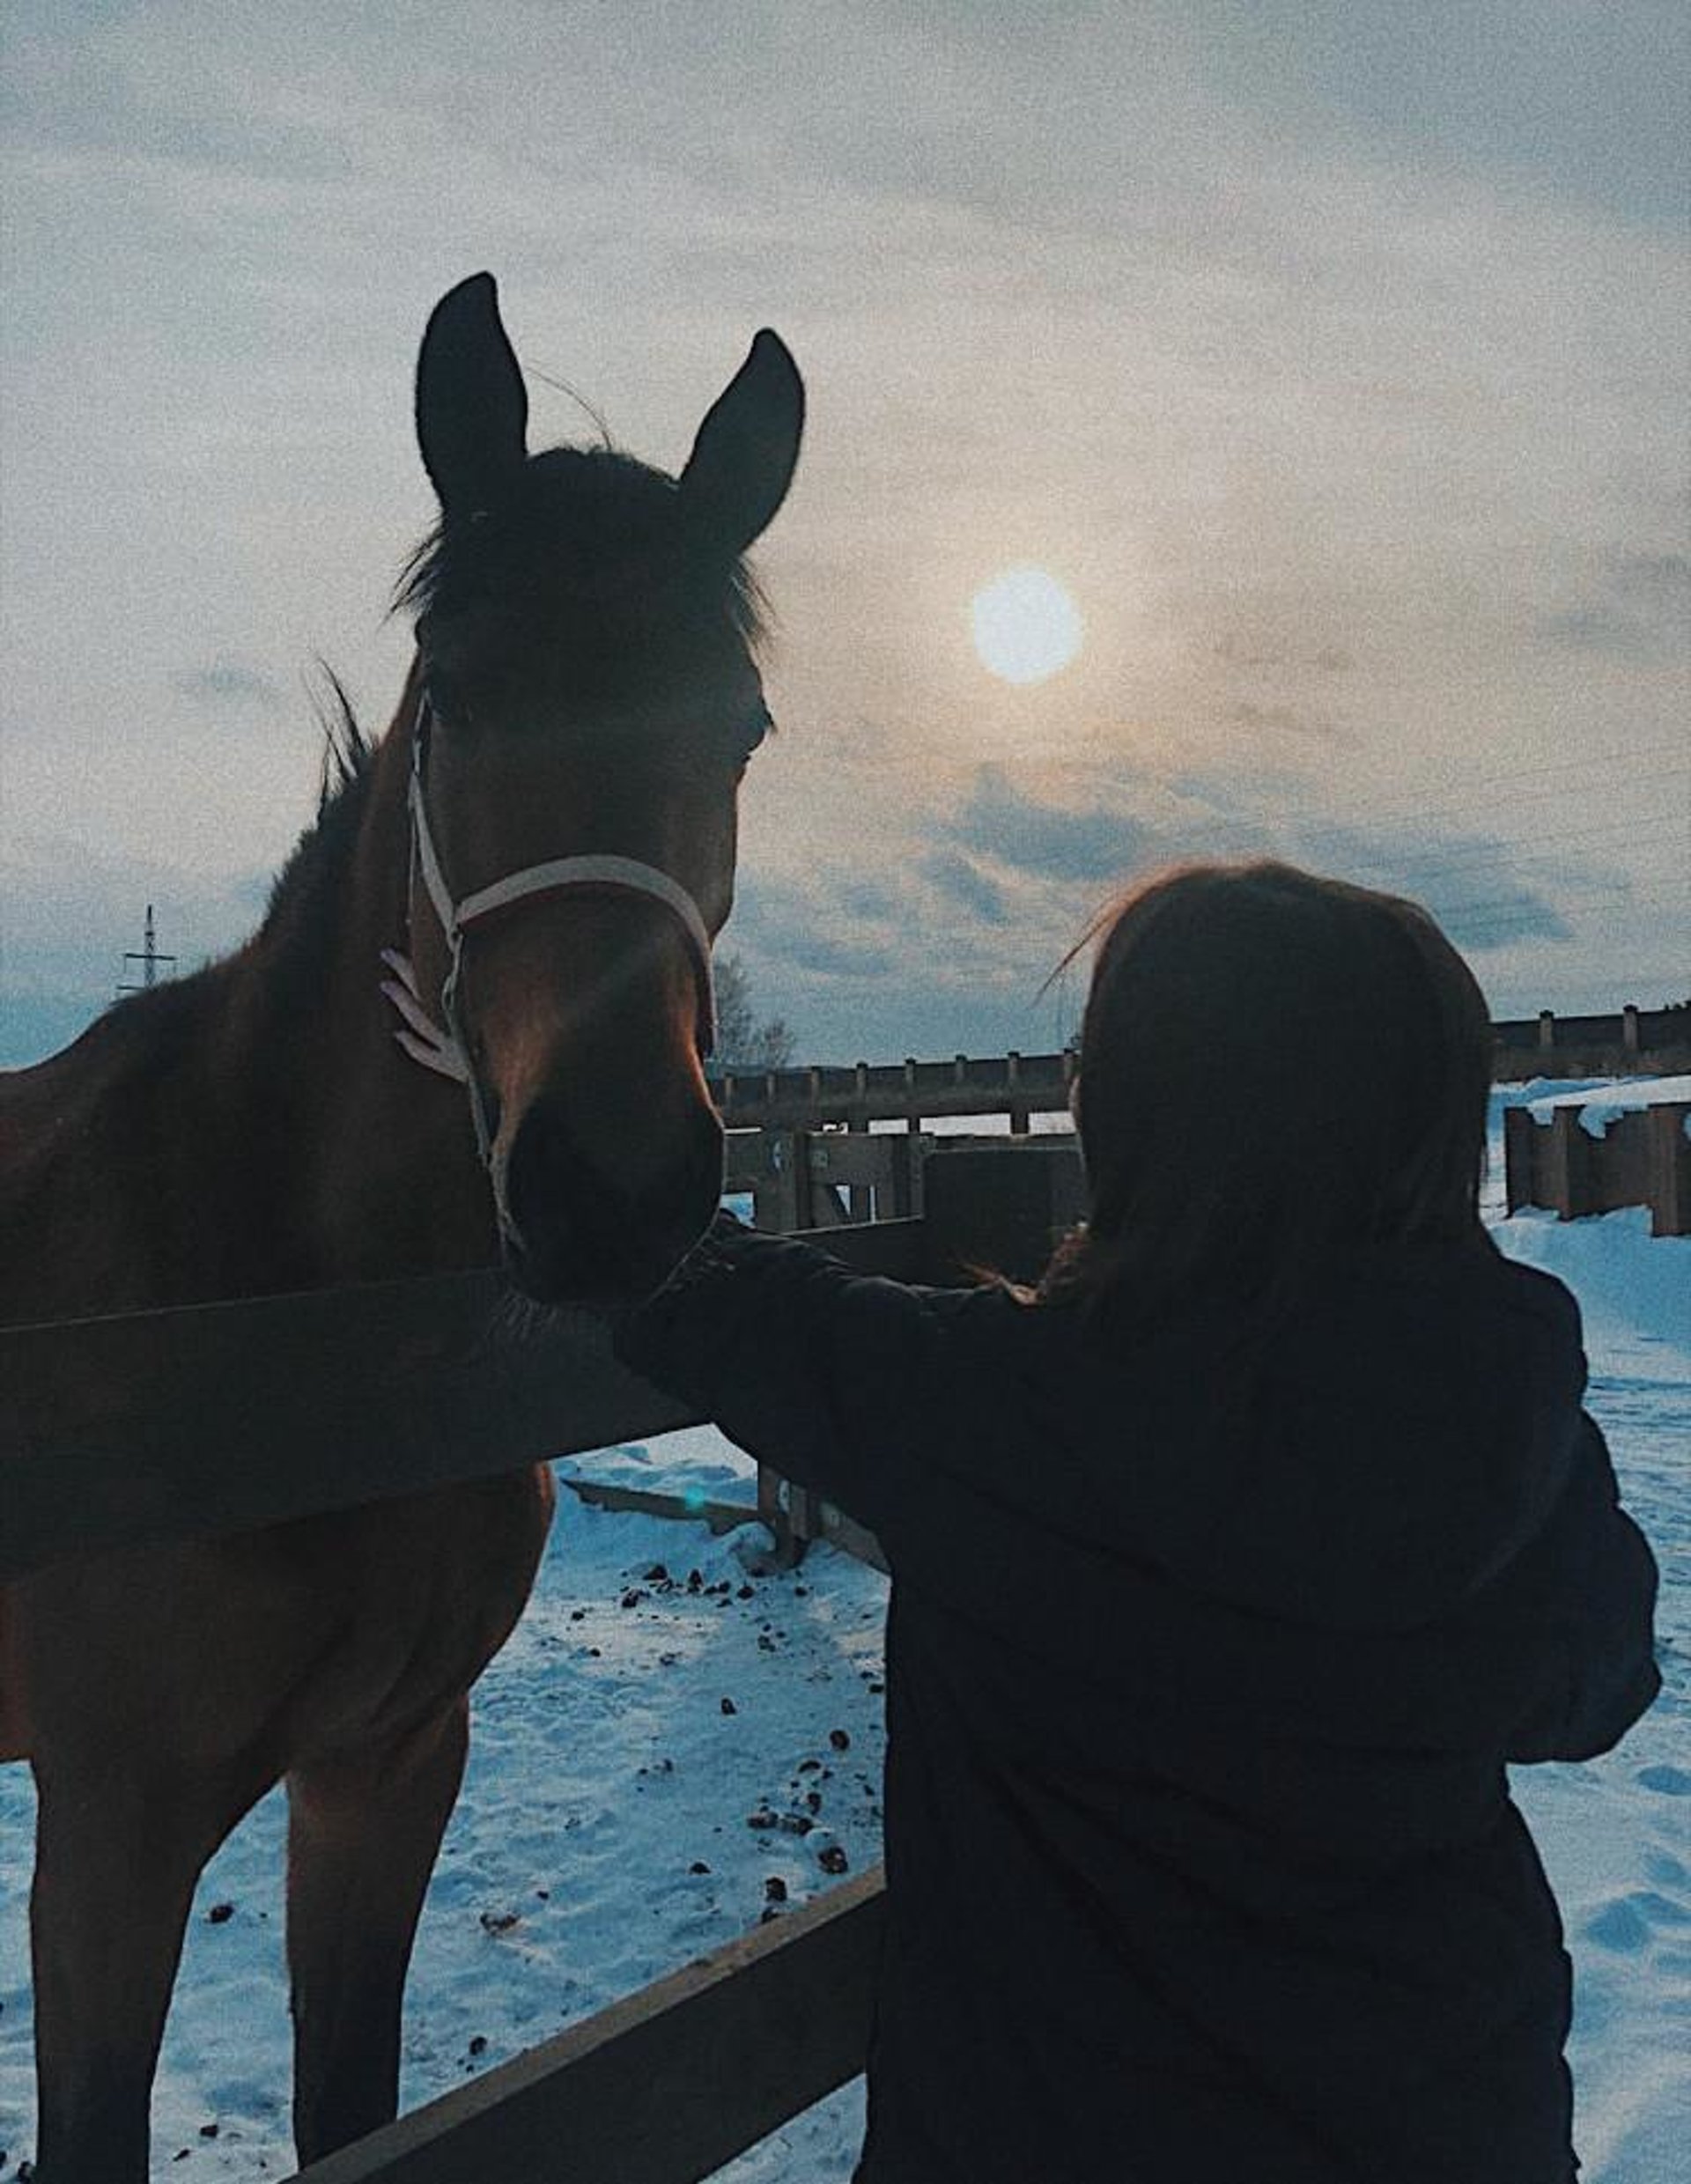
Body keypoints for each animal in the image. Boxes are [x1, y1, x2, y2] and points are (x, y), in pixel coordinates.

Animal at [0, 277, 808, 2184]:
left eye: (739, 720)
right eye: (461, 692)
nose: (613, 1185)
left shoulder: (387, 1767)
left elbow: (351, 2108)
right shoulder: (111, 1837)